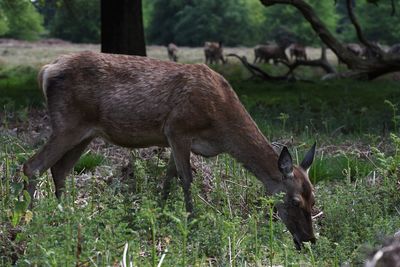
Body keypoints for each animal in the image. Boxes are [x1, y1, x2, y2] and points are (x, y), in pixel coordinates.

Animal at [23, 50, 318, 251]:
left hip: (86, 132)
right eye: (294, 201)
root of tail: (46, 70)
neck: (221, 128)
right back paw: (31, 218)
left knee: (60, 169)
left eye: (314, 200)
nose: (309, 239)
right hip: (67, 123)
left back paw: (66, 214)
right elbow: (186, 179)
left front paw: (160, 214)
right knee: (33, 165)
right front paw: (193, 222)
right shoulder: (178, 129)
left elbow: (169, 177)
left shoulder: (172, 139)